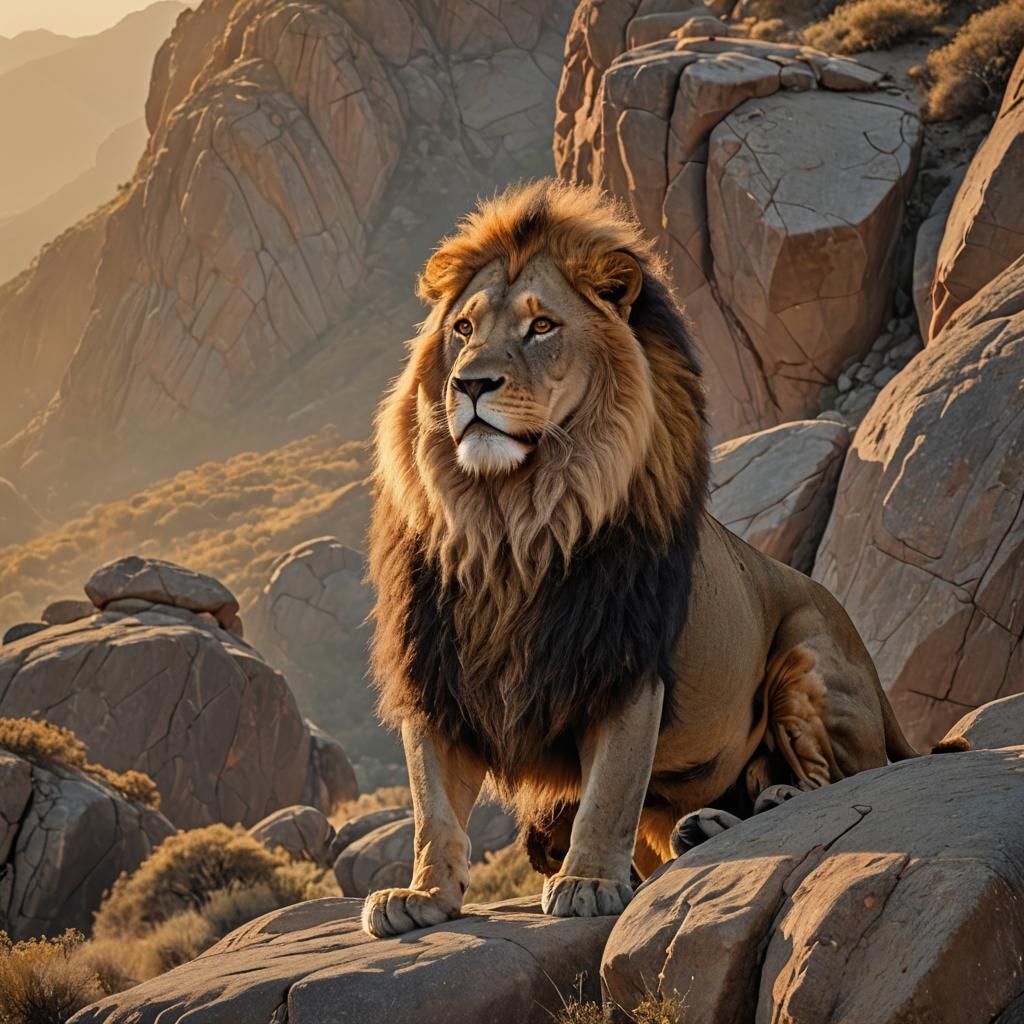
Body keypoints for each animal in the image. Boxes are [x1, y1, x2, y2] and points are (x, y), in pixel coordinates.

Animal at [362, 179, 917, 938]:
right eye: (464, 330)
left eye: (542, 327)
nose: (471, 385)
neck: (508, 523)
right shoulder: (436, 673)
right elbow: (432, 807)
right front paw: (421, 895)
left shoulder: (624, 663)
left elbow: (610, 790)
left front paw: (589, 882)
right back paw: (704, 826)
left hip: (805, 657)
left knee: (843, 775)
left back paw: (771, 801)